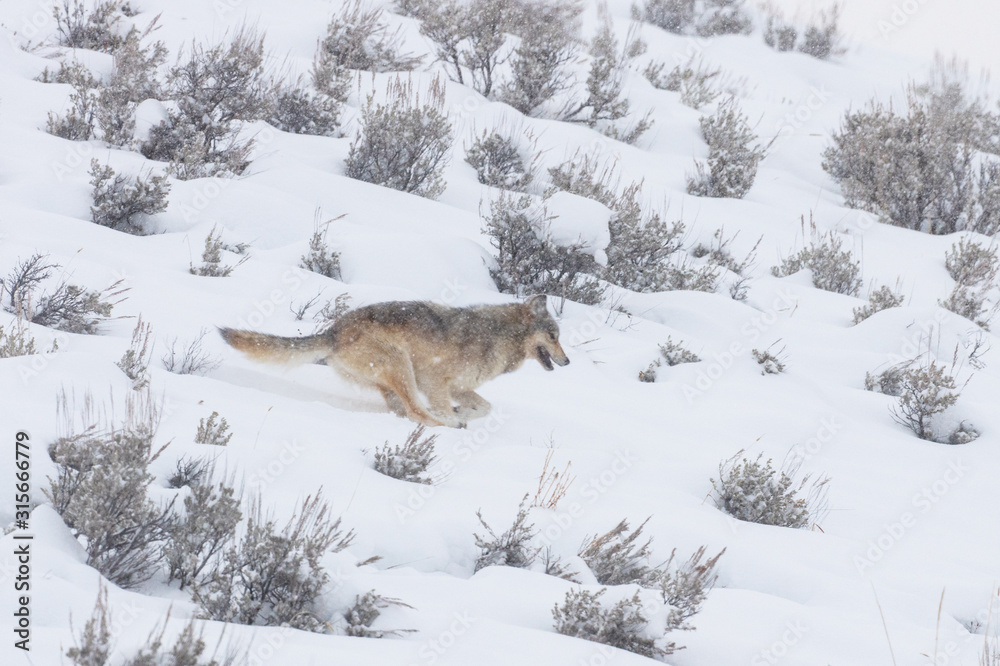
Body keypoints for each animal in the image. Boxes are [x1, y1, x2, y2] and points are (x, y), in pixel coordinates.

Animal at [219, 294, 569, 428]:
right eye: (553, 335)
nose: (567, 362)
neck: (498, 335)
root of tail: (333, 331)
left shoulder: (458, 387)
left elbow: (485, 407)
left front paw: (465, 414)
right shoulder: (435, 380)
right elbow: (449, 407)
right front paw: (456, 419)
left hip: (393, 378)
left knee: (403, 410)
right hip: (402, 365)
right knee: (416, 411)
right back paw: (445, 426)